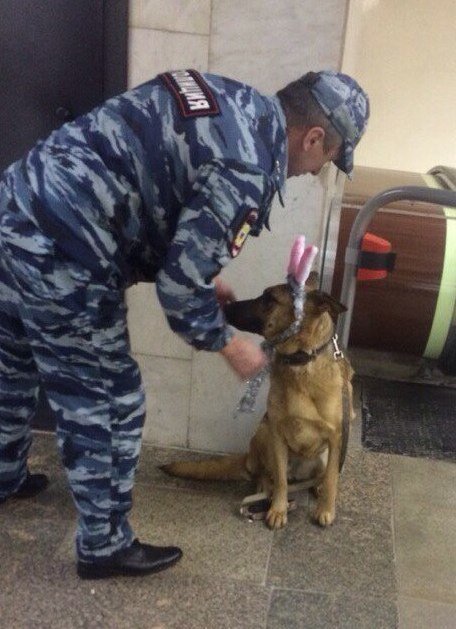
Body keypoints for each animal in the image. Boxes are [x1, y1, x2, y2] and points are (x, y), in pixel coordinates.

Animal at [162, 282, 354, 528]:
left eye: (270, 299)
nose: (227, 305)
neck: (301, 361)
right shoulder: (277, 433)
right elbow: (281, 480)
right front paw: (278, 509)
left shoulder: (337, 437)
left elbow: (331, 478)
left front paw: (326, 509)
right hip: (263, 433)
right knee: (267, 474)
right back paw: (266, 490)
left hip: (322, 453)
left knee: (321, 475)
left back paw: (316, 486)